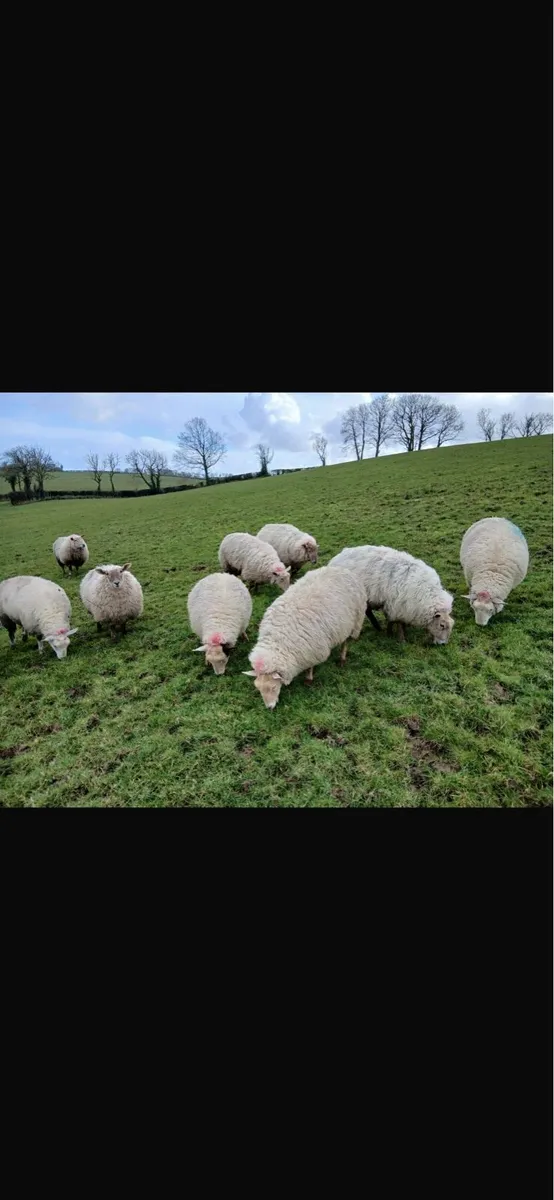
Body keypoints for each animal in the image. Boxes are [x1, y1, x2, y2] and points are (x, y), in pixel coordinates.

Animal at [243, 564, 367, 709]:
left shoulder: (312, 650)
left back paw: (342, 658)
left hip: (354, 621)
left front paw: (308, 679)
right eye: (258, 688)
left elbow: (310, 667)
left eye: (273, 687)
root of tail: (341, 569)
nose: (270, 708)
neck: (278, 641)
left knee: (345, 642)